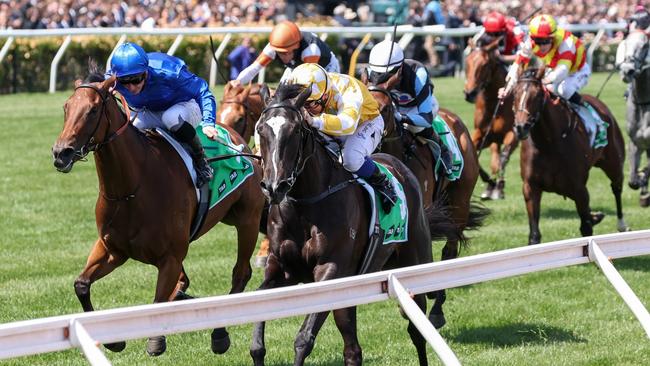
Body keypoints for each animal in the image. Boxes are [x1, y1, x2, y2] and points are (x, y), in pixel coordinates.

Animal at [49, 66, 264, 354]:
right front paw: (114, 341)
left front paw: (155, 341)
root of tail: (240, 141)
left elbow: (158, 302)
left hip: (247, 220)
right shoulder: (112, 249)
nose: (61, 153)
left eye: (92, 110)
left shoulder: (169, 258)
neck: (132, 189)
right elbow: (81, 285)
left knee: (240, 273)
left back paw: (219, 334)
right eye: (66, 106)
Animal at [460, 37, 516, 200]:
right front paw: (490, 184)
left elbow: (503, 159)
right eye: (467, 62)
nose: (469, 93)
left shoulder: (512, 134)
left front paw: (499, 187)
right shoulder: (483, 134)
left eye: (484, 65)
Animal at [512, 64, 628, 244]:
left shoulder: (579, 188)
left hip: (613, 164)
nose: (521, 127)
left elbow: (586, 228)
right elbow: (534, 235)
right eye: (514, 93)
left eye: (537, 95)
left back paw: (621, 224)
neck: (548, 143)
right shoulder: (530, 187)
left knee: (617, 188)